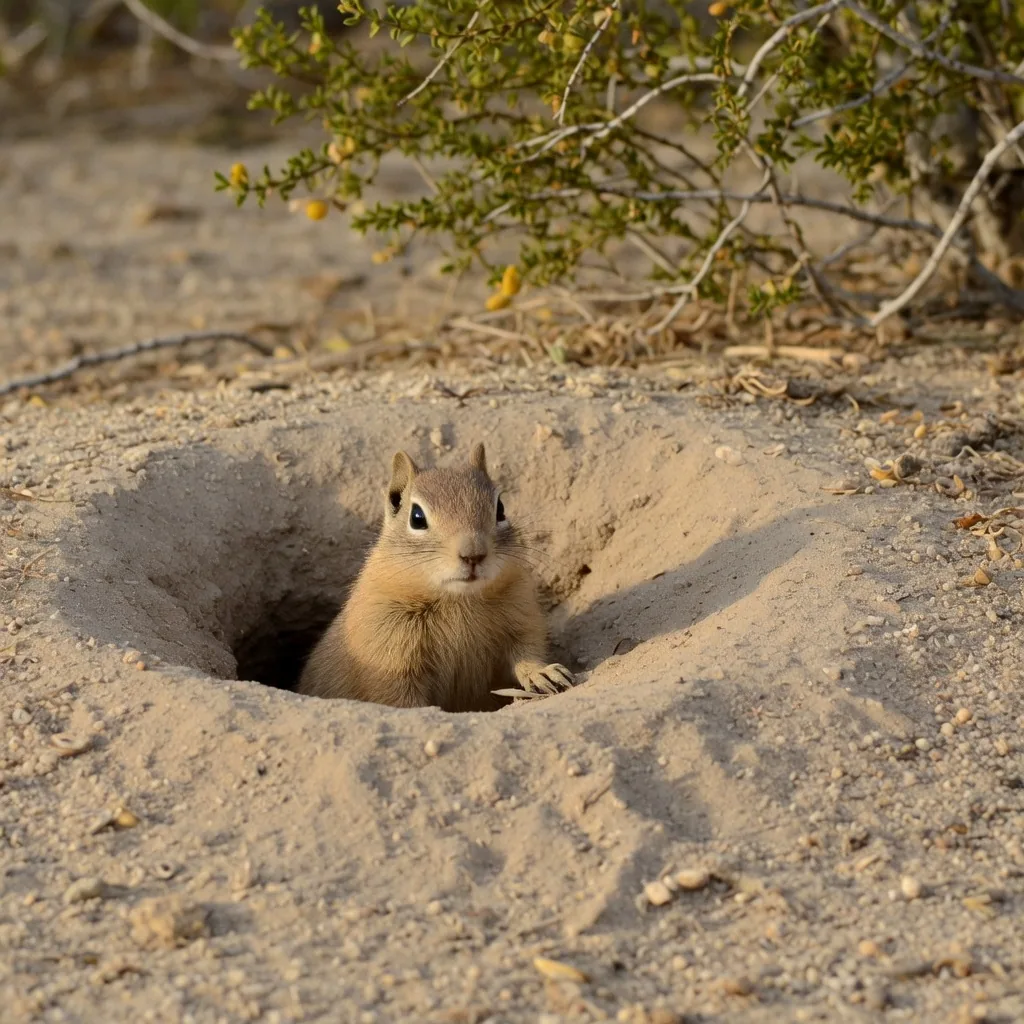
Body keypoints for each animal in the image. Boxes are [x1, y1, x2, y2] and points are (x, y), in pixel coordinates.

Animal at [296, 442, 576, 712]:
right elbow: (400, 698)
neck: (459, 601)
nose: (473, 554)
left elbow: (526, 652)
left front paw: (544, 673)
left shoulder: (521, 617)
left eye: (501, 508)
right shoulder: (389, 656)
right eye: (417, 517)